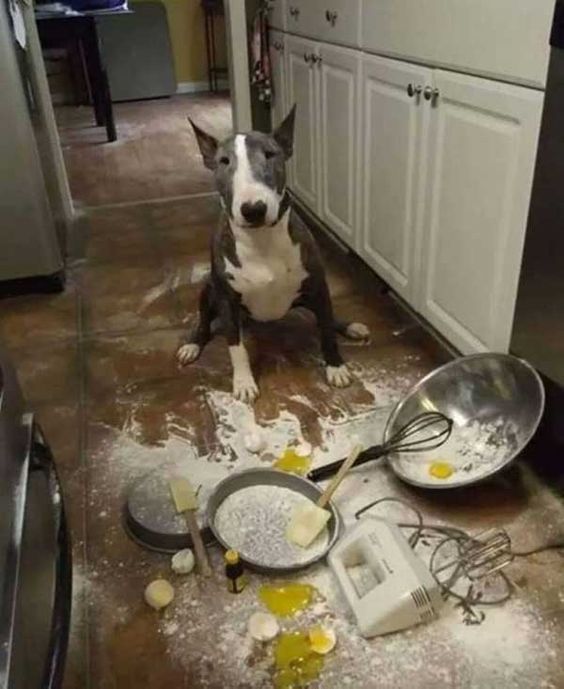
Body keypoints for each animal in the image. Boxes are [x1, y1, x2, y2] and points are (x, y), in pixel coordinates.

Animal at [177, 105, 370, 400]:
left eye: (270, 154)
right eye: (224, 161)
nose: (253, 209)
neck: (262, 240)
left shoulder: (318, 286)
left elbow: (326, 330)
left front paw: (336, 367)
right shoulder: (228, 301)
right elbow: (236, 347)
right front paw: (244, 383)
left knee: (325, 318)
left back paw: (351, 327)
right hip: (208, 290)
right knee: (204, 322)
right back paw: (193, 345)